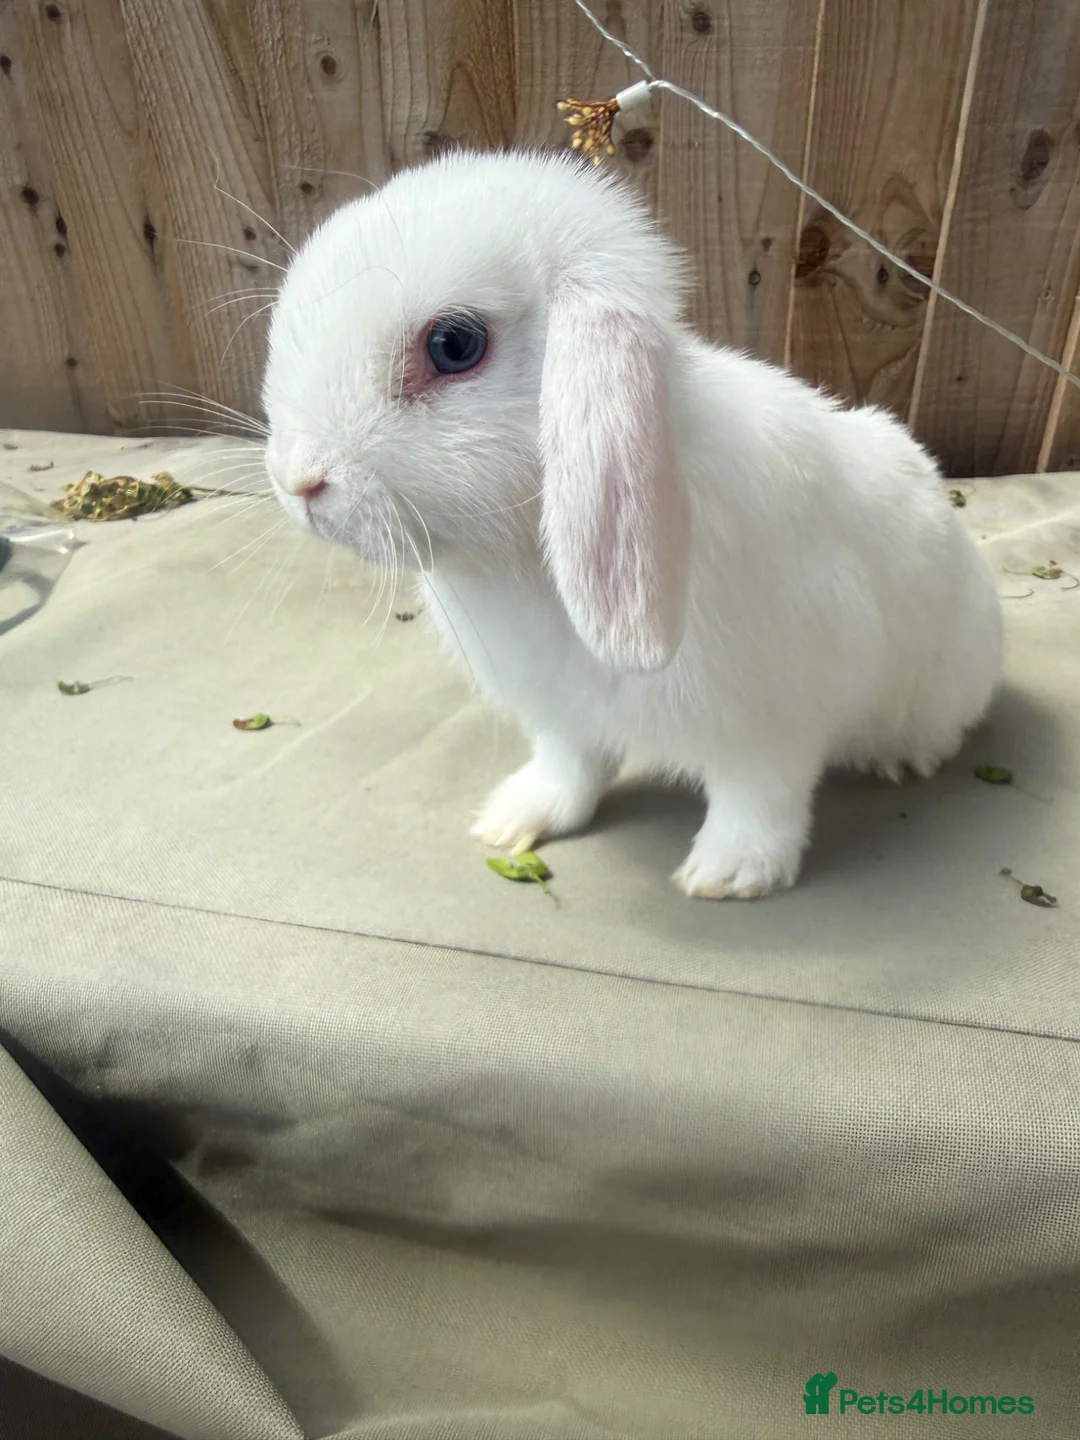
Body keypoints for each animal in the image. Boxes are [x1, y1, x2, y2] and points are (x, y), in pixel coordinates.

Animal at [262, 148, 1004, 900]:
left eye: (454, 344)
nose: (298, 480)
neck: (531, 565)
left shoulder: (773, 724)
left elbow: (760, 800)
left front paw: (728, 875)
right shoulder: (561, 715)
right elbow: (571, 770)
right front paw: (512, 820)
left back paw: (902, 761)